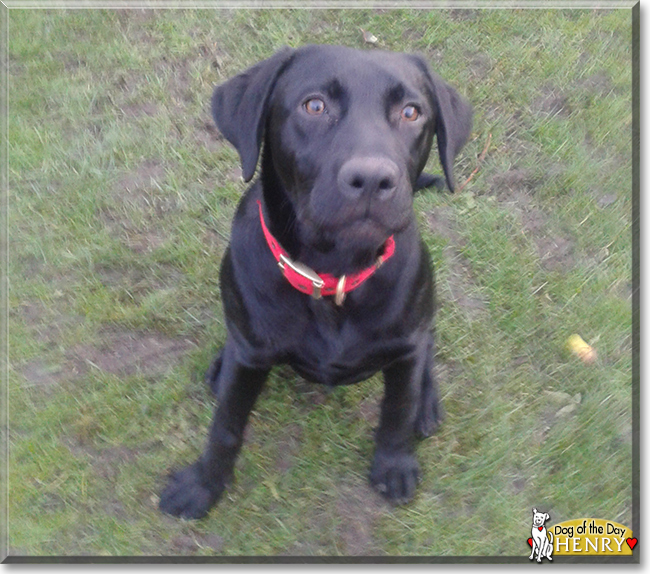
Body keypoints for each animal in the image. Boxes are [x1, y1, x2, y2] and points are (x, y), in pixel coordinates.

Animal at [159, 45, 468, 520]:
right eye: (315, 105)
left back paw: (427, 401)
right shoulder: (251, 354)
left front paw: (394, 464)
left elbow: (397, 411)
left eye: (411, 112)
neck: (332, 275)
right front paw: (202, 486)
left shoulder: (405, 342)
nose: (373, 180)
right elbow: (226, 425)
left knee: (427, 353)